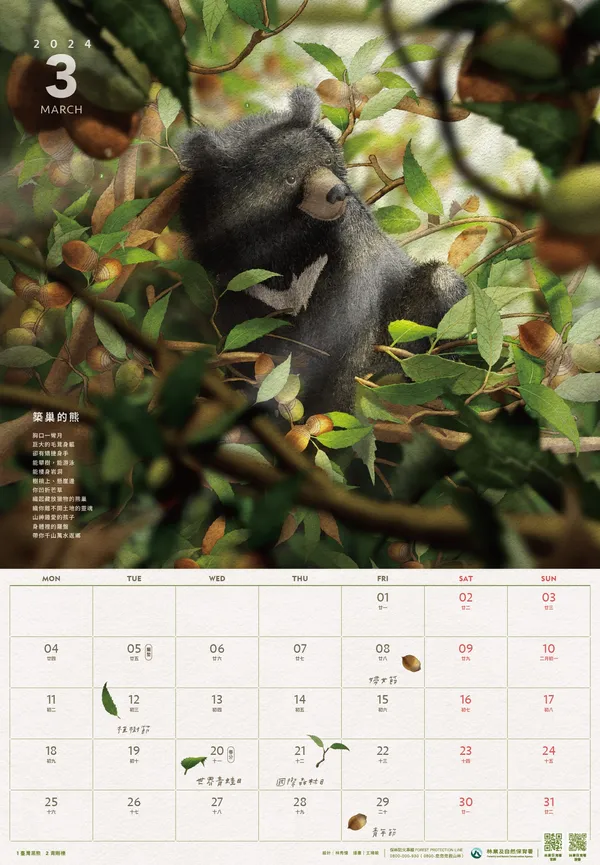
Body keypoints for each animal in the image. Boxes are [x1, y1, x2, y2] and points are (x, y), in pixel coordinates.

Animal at [179, 86, 467, 416]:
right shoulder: (220, 266)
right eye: (290, 177)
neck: (282, 240)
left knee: (439, 283)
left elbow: (348, 336)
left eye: (327, 161)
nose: (337, 193)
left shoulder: (351, 258)